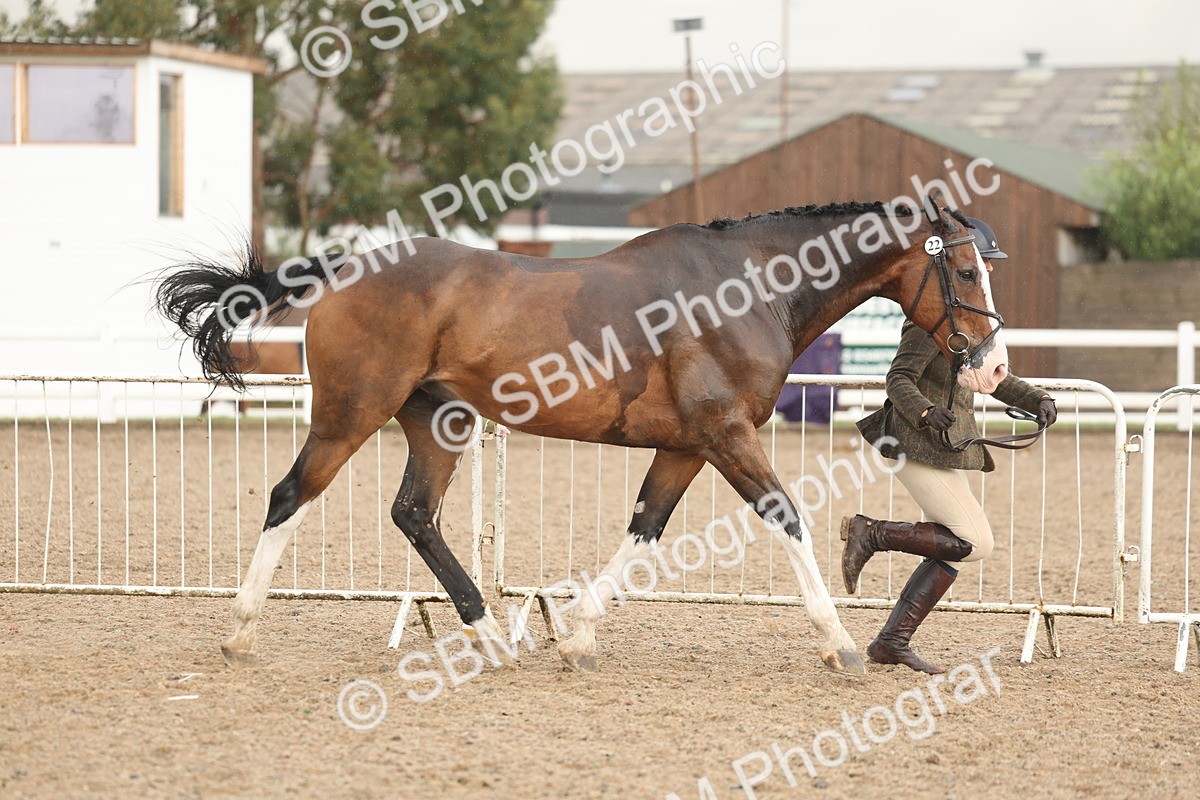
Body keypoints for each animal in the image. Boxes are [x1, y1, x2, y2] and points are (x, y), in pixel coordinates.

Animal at [155, 189, 1009, 675]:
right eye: (966, 272)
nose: (993, 366)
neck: (746, 289)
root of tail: (340, 271)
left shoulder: (685, 447)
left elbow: (644, 530)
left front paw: (576, 639)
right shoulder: (726, 435)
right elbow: (788, 519)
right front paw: (838, 644)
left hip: (437, 421)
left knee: (415, 514)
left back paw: (491, 637)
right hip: (350, 412)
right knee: (289, 496)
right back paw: (240, 632)